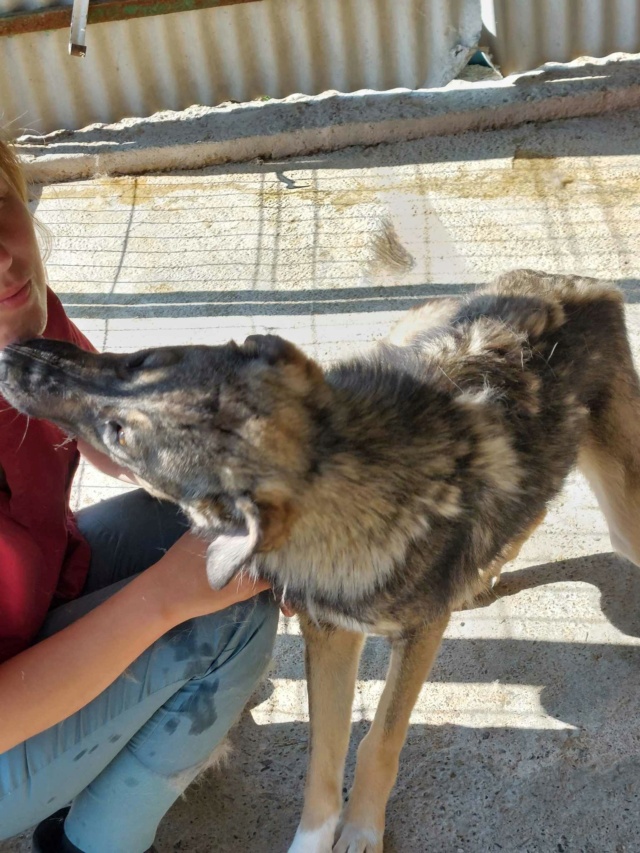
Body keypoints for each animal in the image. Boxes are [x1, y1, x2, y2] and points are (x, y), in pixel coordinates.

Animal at [1, 268, 640, 852]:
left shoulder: (419, 634)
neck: (340, 478)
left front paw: (361, 833)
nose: (13, 355)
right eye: (140, 361)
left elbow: (379, 740)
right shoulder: (329, 633)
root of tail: (579, 284)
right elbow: (325, 754)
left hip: (623, 515)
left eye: (118, 432)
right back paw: (484, 568)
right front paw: (316, 839)